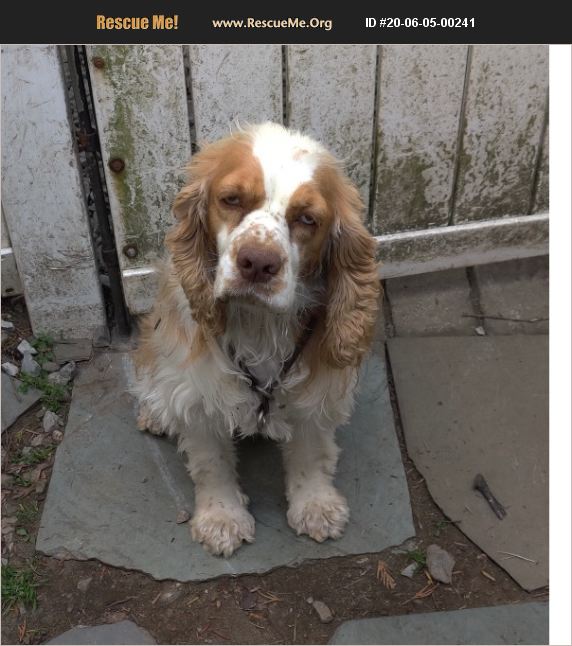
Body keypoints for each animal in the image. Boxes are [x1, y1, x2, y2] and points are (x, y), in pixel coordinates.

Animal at [132, 124, 378, 560]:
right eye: (231, 199)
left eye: (307, 218)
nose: (258, 263)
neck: (260, 325)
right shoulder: (198, 392)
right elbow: (211, 462)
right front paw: (221, 519)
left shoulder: (315, 393)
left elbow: (312, 452)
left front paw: (316, 507)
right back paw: (154, 413)